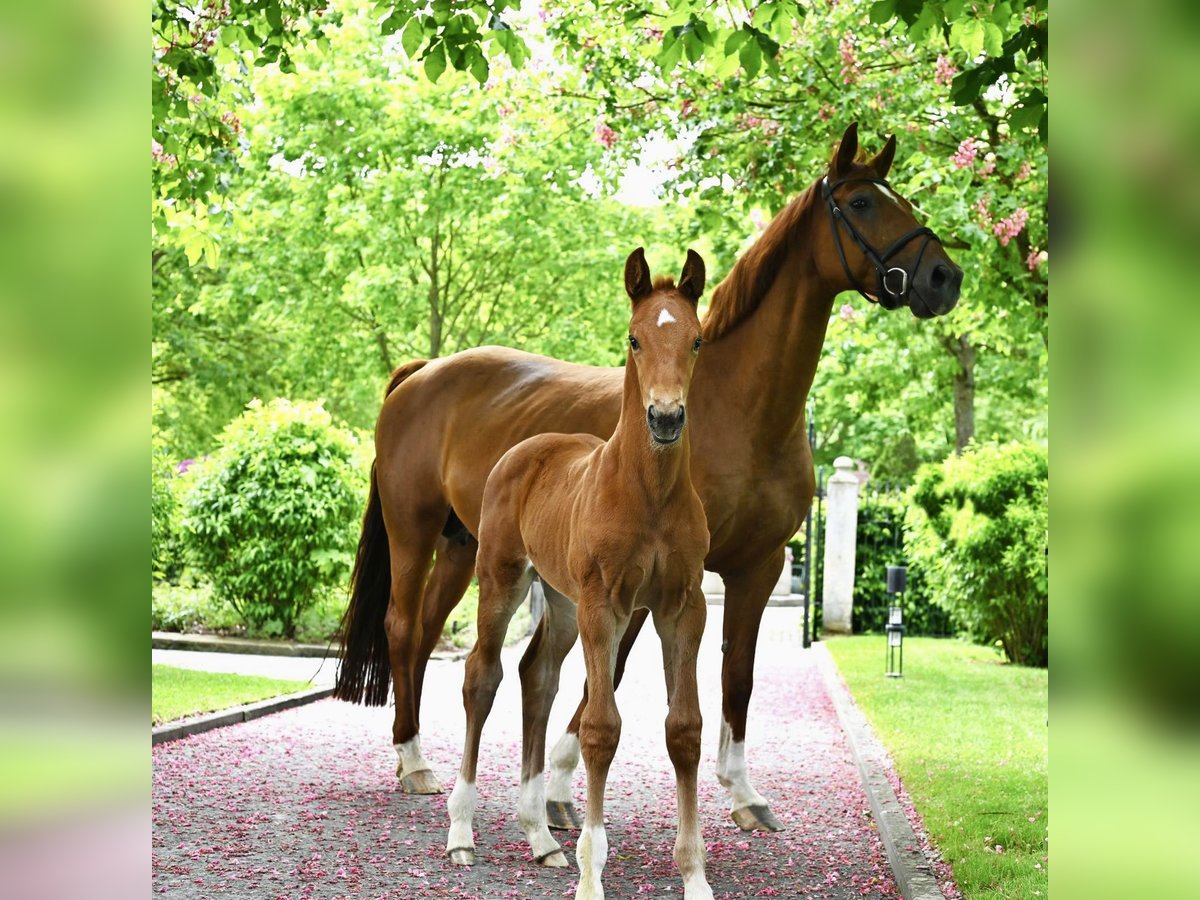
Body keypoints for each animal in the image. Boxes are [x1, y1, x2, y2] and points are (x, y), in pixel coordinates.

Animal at [334, 122, 964, 834]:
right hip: (412, 534)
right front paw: (560, 789)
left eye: (903, 198)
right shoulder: (636, 581)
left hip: (468, 549)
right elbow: (605, 675)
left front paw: (741, 792)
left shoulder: (758, 567)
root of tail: (422, 373)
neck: (735, 408)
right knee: (403, 628)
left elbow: (737, 675)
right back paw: (414, 762)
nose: (944, 276)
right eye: (860, 203)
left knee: (432, 640)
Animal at [445, 249, 713, 900]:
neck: (650, 494)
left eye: (696, 339)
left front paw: (694, 876)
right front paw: (594, 874)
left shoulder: (682, 606)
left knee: (537, 677)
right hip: (504, 578)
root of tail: (527, 447)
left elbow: (684, 728)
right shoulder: (605, 605)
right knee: (482, 677)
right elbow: (600, 728)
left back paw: (541, 838)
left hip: (562, 603)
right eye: (635, 338)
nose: (666, 418)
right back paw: (462, 832)